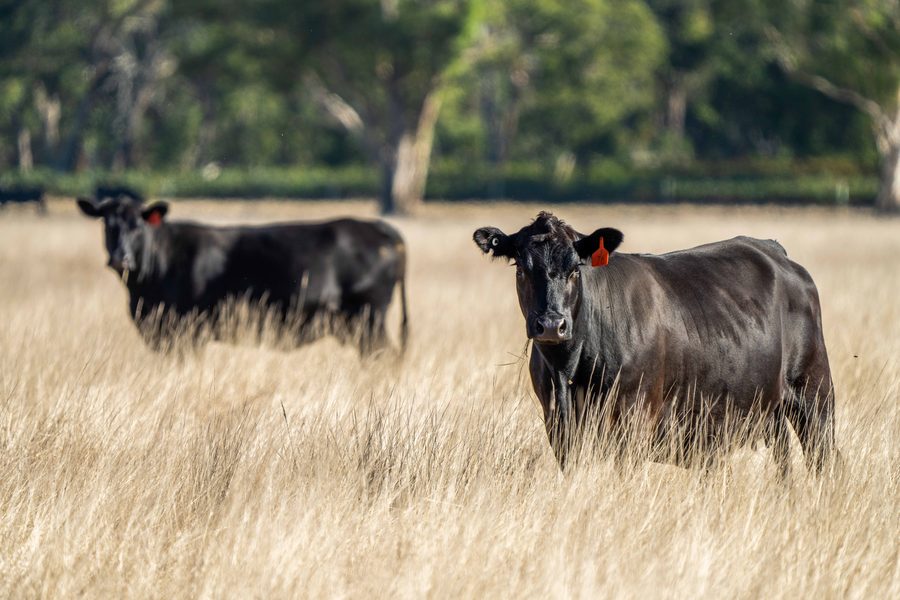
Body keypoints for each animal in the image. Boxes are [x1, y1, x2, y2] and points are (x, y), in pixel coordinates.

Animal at [77, 194, 408, 355]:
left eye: (138, 225)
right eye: (107, 224)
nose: (121, 259)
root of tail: (378, 227)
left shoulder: (187, 331)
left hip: (368, 318)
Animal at [474, 212, 835, 474]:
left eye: (576, 268)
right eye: (520, 268)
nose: (551, 324)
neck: (570, 367)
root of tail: (772, 249)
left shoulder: (634, 417)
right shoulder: (559, 423)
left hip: (813, 394)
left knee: (825, 460)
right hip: (766, 410)